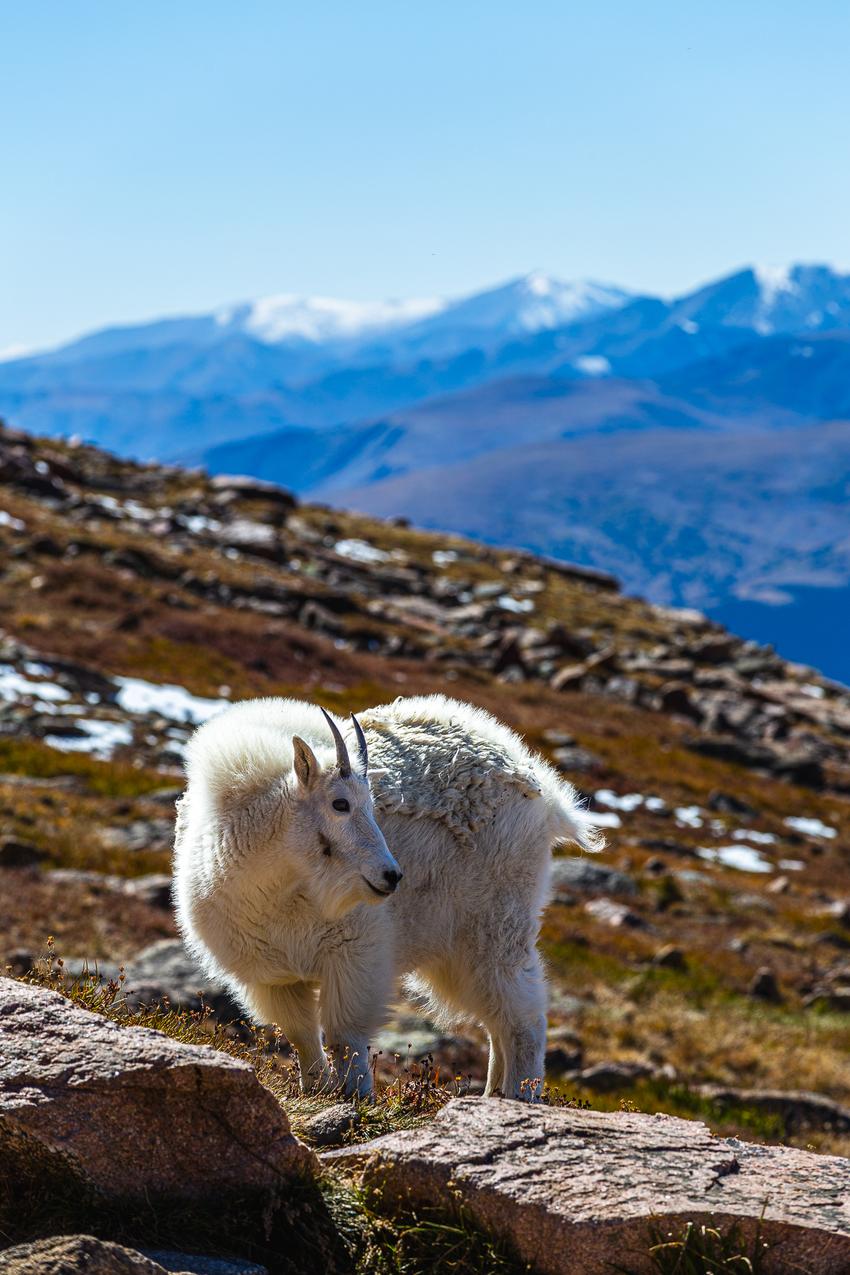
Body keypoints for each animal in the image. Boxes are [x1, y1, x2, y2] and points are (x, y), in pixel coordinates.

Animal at [170, 693, 598, 1101]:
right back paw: (494, 1096)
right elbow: (301, 1035)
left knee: (523, 1015)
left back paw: (522, 1097)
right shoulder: (273, 976)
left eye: (374, 806)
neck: (282, 886)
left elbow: (344, 1035)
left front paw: (356, 1097)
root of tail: (545, 793)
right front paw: (316, 1090)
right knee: (498, 1020)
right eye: (340, 803)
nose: (391, 876)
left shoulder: (355, 953)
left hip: (495, 925)